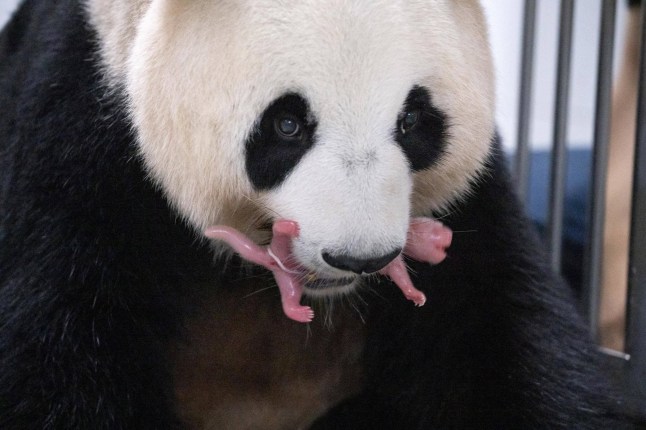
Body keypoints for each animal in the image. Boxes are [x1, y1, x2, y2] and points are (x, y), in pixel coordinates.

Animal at [0, 0, 640, 428]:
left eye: (413, 120)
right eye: (287, 124)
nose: (361, 257)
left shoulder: (468, 211)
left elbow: (503, 341)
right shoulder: (79, 140)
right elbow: (57, 355)